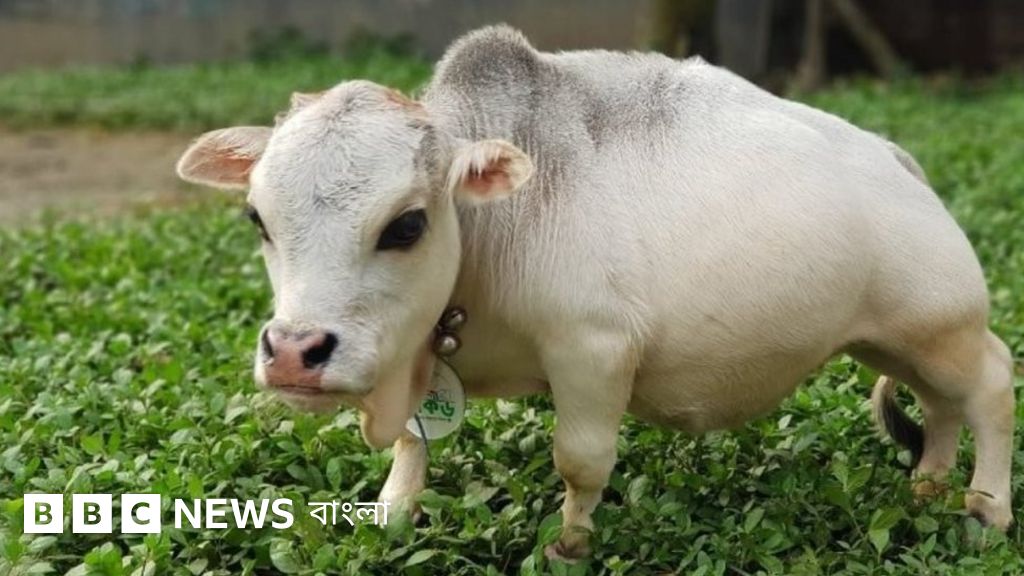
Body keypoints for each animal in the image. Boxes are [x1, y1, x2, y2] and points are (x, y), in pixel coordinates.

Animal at [176, 25, 1014, 560]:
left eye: (406, 224)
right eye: (258, 217)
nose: (294, 353)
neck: (490, 233)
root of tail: (900, 164)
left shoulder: (594, 351)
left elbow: (580, 461)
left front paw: (570, 543)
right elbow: (416, 441)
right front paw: (393, 510)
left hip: (942, 329)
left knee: (993, 385)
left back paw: (986, 509)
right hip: (890, 343)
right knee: (941, 406)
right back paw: (927, 489)